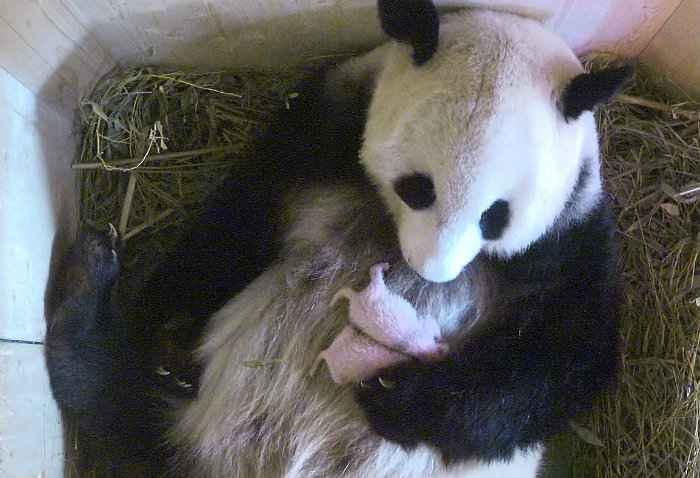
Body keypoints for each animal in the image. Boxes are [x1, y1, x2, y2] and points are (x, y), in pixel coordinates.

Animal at [44, 1, 630, 477]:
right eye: (418, 188)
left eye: (495, 216)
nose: (430, 270)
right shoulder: (325, 128)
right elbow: (239, 219)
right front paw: (170, 329)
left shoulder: (569, 237)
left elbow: (561, 354)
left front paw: (393, 395)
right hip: (190, 421)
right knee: (121, 404)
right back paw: (88, 289)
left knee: (123, 413)